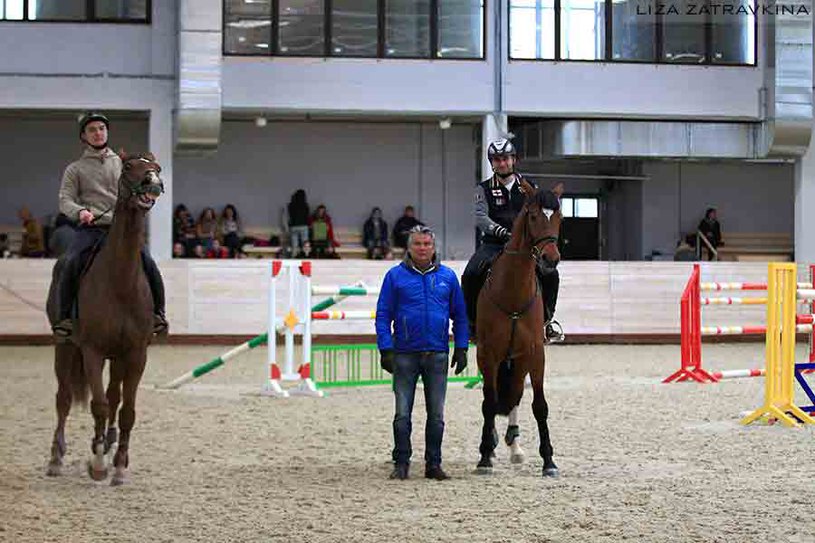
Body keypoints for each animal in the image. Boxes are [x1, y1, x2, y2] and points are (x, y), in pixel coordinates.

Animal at [45, 152, 166, 484]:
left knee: (114, 396)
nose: (153, 183)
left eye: (156, 167)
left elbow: (125, 411)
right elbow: (98, 406)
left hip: (118, 357)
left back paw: (108, 444)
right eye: (129, 168)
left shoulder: (136, 354)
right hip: (65, 348)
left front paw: (120, 464)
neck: (120, 281)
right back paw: (56, 458)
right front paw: (98, 463)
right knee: (63, 398)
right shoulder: (92, 352)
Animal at [478, 178, 560, 476]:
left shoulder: (535, 353)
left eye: (558, 216)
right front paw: (484, 456)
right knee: (493, 399)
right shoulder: (488, 353)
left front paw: (549, 461)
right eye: (533, 216)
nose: (550, 259)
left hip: (518, 359)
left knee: (514, 394)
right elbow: (489, 402)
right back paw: (491, 446)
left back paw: (515, 447)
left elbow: (539, 406)